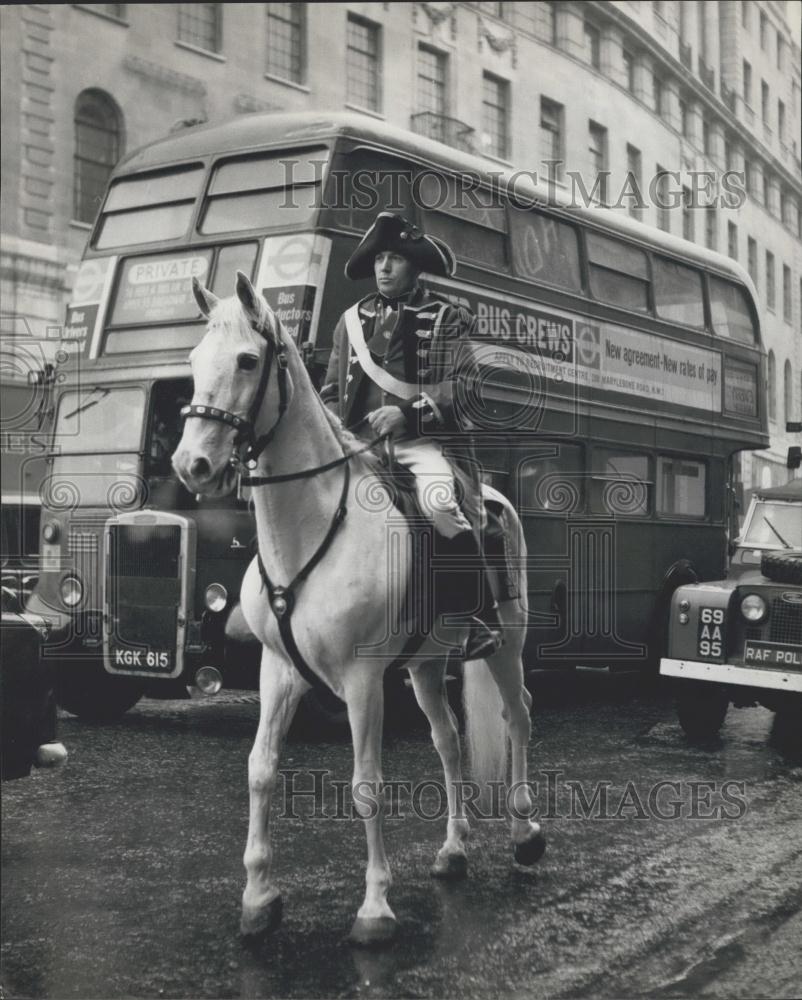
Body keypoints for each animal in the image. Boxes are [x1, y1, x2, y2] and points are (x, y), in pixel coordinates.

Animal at [171, 272, 540, 944]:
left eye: (247, 360)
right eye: (192, 361)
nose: (192, 465)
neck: (311, 528)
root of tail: (492, 495)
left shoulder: (363, 679)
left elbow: (366, 785)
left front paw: (375, 908)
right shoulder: (277, 671)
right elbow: (260, 769)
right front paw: (259, 896)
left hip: (508, 639)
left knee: (518, 714)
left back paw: (526, 831)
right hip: (425, 665)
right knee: (449, 741)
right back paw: (454, 849)